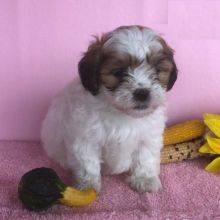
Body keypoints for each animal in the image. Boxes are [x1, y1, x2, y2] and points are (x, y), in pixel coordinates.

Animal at [41, 25, 178, 192]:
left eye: (157, 71)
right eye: (118, 73)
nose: (142, 93)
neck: (122, 113)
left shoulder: (148, 136)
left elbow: (145, 157)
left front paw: (144, 178)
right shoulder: (85, 138)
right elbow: (88, 164)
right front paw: (88, 186)